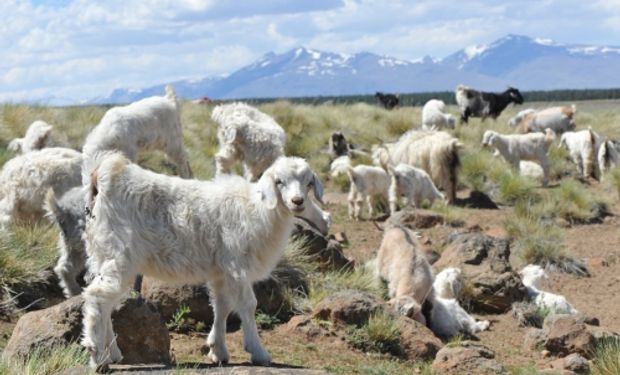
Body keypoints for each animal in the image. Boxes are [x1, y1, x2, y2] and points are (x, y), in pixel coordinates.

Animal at [80, 154, 322, 372]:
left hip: (101, 253)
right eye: (279, 181)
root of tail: (106, 173)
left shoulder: (221, 271)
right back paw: (98, 356)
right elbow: (248, 305)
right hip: (118, 252)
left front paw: (219, 351)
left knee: (107, 301)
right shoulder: (237, 265)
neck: (258, 209)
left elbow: (222, 305)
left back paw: (112, 353)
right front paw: (259, 352)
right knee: (98, 297)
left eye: (308, 182)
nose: (298, 202)